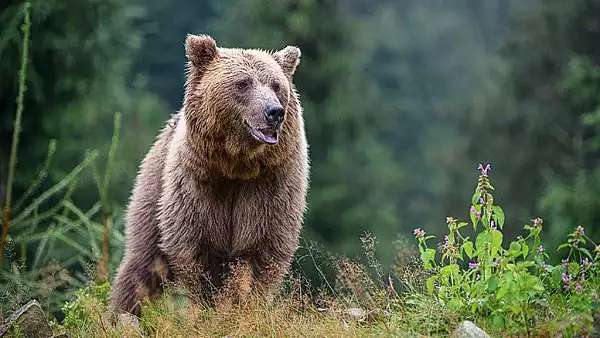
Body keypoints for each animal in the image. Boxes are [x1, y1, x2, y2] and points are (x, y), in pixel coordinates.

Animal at [109, 33, 310, 316]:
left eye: (277, 85)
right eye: (243, 83)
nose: (274, 112)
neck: (237, 165)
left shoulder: (270, 186)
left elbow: (260, 251)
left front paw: (244, 305)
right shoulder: (197, 187)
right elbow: (197, 252)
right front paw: (211, 307)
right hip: (154, 188)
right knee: (142, 264)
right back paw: (123, 313)